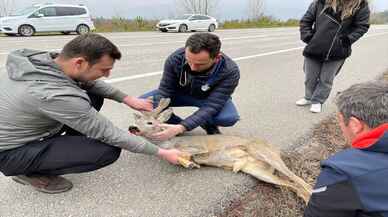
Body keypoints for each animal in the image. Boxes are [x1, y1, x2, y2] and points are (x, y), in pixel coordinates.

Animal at [129, 98, 314, 203]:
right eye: (138, 121)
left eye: (150, 123)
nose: (133, 128)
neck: (169, 143)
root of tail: (275, 149)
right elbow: (183, 159)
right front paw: (190, 164)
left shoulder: (199, 147)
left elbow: (191, 153)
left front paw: (192, 161)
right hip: (258, 170)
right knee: (290, 184)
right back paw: (305, 200)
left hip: (265, 153)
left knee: (297, 179)